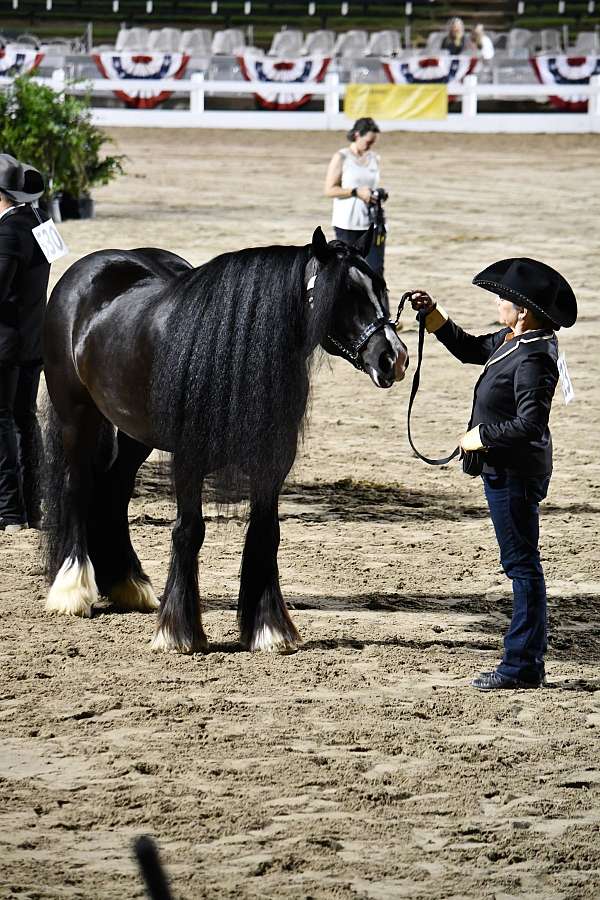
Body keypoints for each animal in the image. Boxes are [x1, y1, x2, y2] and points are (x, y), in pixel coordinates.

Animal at [42, 227, 408, 652]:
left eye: (380, 287)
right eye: (343, 293)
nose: (394, 358)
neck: (229, 352)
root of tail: (87, 270)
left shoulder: (272, 462)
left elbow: (265, 533)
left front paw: (269, 630)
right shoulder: (188, 458)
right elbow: (188, 531)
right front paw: (178, 633)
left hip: (135, 433)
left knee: (114, 491)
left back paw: (128, 586)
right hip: (77, 417)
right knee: (78, 487)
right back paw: (71, 591)